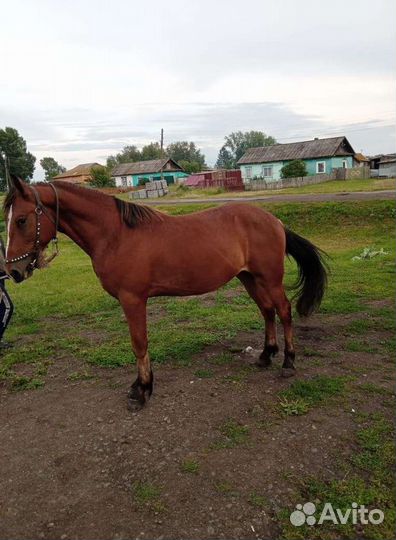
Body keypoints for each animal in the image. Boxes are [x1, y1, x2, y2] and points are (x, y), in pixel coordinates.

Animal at [3, 177, 326, 410]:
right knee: (267, 311)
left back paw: (288, 362)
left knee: (283, 310)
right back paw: (265, 355)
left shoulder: (133, 299)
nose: (13, 271)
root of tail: (275, 221)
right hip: (249, 278)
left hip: (269, 279)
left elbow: (139, 344)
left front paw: (142, 390)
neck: (116, 234)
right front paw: (141, 386)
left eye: (21, 220)